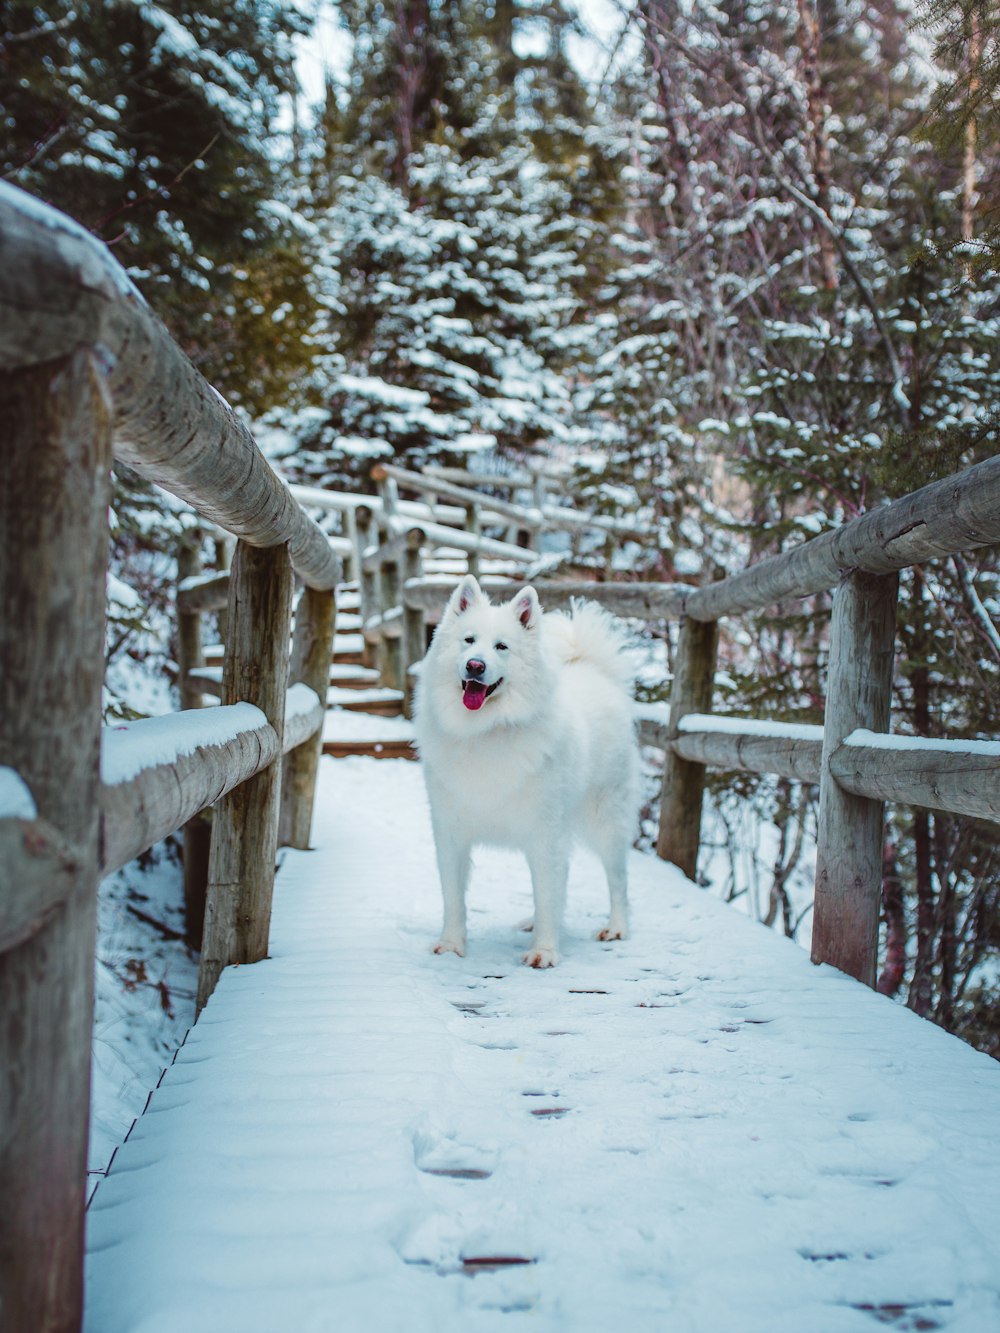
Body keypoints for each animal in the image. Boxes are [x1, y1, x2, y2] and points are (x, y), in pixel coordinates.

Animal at [413, 573, 642, 970]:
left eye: (501, 647)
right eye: (469, 640)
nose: (475, 666)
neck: (485, 731)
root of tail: (594, 671)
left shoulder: (545, 833)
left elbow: (548, 892)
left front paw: (544, 951)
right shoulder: (450, 831)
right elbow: (454, 897)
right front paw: (452, 945)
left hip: (607, 823)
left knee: (618, 881)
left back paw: (616, 928)